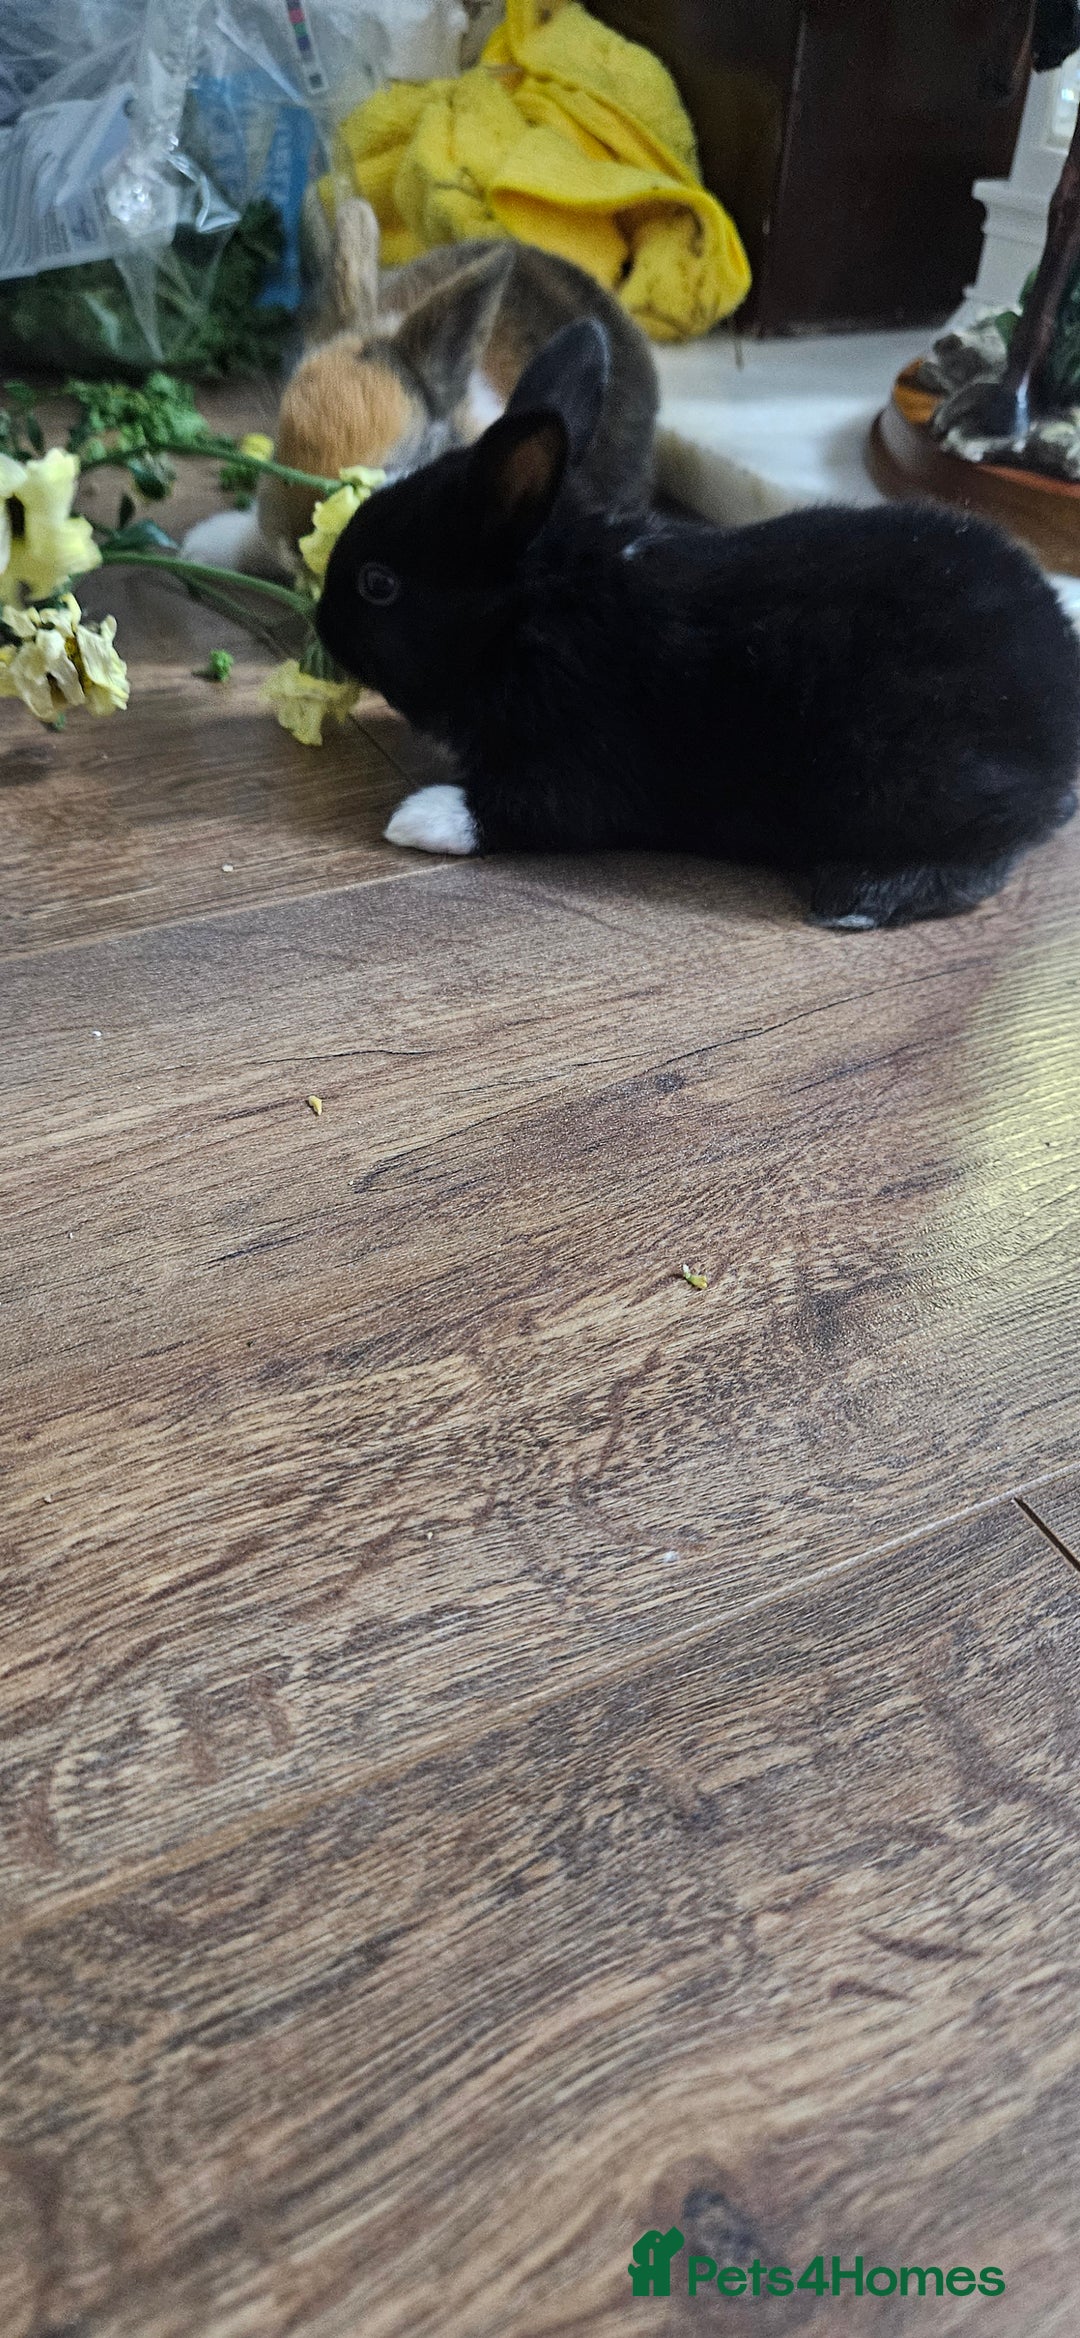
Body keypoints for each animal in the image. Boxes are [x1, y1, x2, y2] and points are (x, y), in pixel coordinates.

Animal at [313, 317, 1080, 929]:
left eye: (378, 585)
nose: (321, 623)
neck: (531, 612)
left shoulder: (578, 769)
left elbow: (512, 808)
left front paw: (418, 817)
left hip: (910, 786)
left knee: (989, 856)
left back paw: (857, 898)